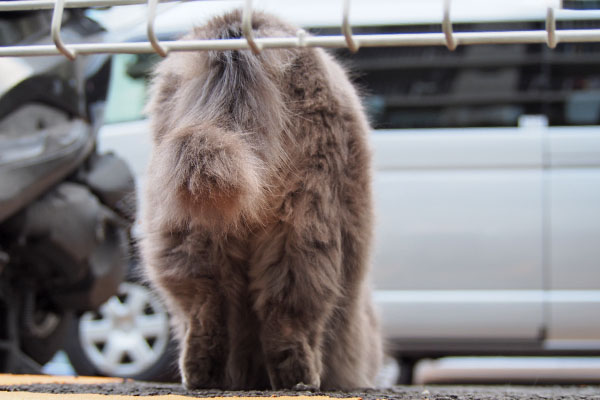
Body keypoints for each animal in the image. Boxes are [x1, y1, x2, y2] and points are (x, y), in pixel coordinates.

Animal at [140, 9, 382, 390]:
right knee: (292, 307)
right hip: (309, 212)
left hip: (187, 225)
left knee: (203, 305)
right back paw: (299, 378)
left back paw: (203, 375)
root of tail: (235, 29)